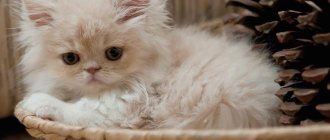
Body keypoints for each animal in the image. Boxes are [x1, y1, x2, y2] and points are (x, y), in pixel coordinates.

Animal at [18, 0, 282, 130]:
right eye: (71, 58)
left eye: (113, 53)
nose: (92, 70)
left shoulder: (122, 109)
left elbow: (77, 110)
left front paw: (37, 102)